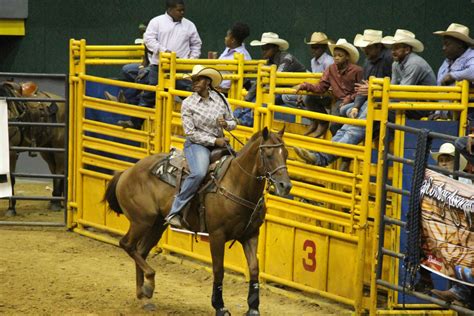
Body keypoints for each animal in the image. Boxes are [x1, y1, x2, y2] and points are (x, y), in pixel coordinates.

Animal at [0, 80, 65, 216]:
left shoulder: (11, 153)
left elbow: (11, 179)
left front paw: (11, 208)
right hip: (46, 150)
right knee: (54, 170)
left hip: (59, 147)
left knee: (59, 171)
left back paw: (56, 203)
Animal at [104, 127, 292, 314]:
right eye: (268, 154)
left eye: (286, 154)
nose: (286, 186)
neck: (236, 184)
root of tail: (127, 172)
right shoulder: (217, 235)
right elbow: (218, 270)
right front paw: (220, 306)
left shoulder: (250, 235)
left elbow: (253, 269)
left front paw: (253, 308)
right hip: (141, 221)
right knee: (127, 244)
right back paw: (149, 282)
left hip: (157, 224)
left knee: (141, 251)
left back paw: (144, 294)